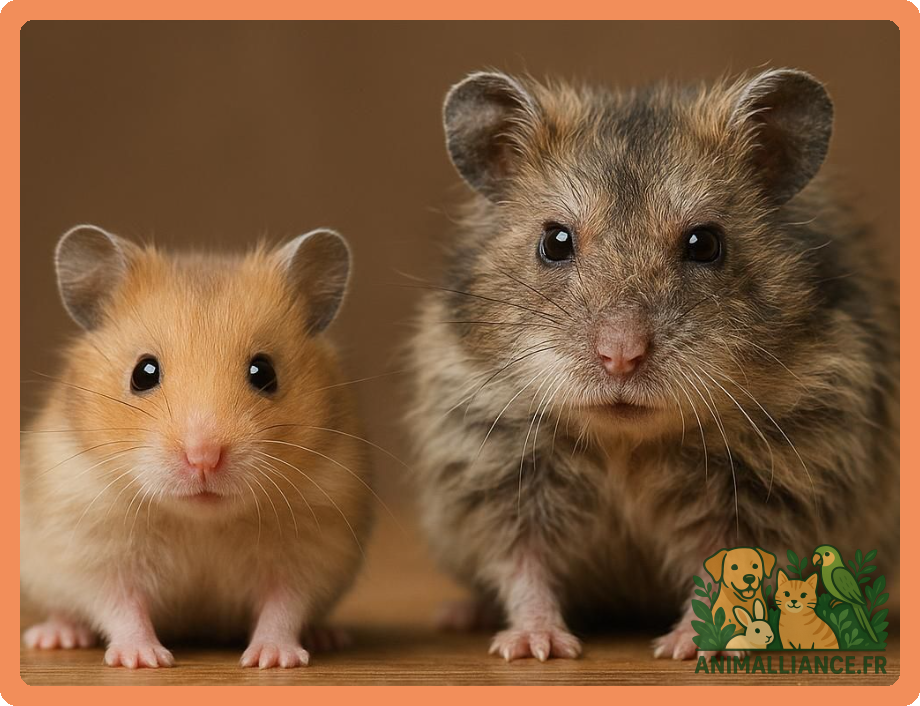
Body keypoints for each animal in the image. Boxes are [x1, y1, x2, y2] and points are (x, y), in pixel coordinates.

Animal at [21, 225, 373, 669]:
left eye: (264, 372)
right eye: (143, 373)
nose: (203, 457)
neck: (200, 521)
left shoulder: (312, 547)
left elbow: (283, 607)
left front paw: (272, 659)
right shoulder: (93, 545)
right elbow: (121, 606)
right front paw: (145, 660)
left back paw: (328, 637)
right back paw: (54, 636)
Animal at [408, 70, 898, 661]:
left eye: (705, 243)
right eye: (554, 241)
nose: (620, 356)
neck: (627, 441)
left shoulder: (772, 481)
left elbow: (722, 567)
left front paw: (697, 648)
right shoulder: (498, 466)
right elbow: (524, 563)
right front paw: (534, 647)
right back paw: (460, 615)